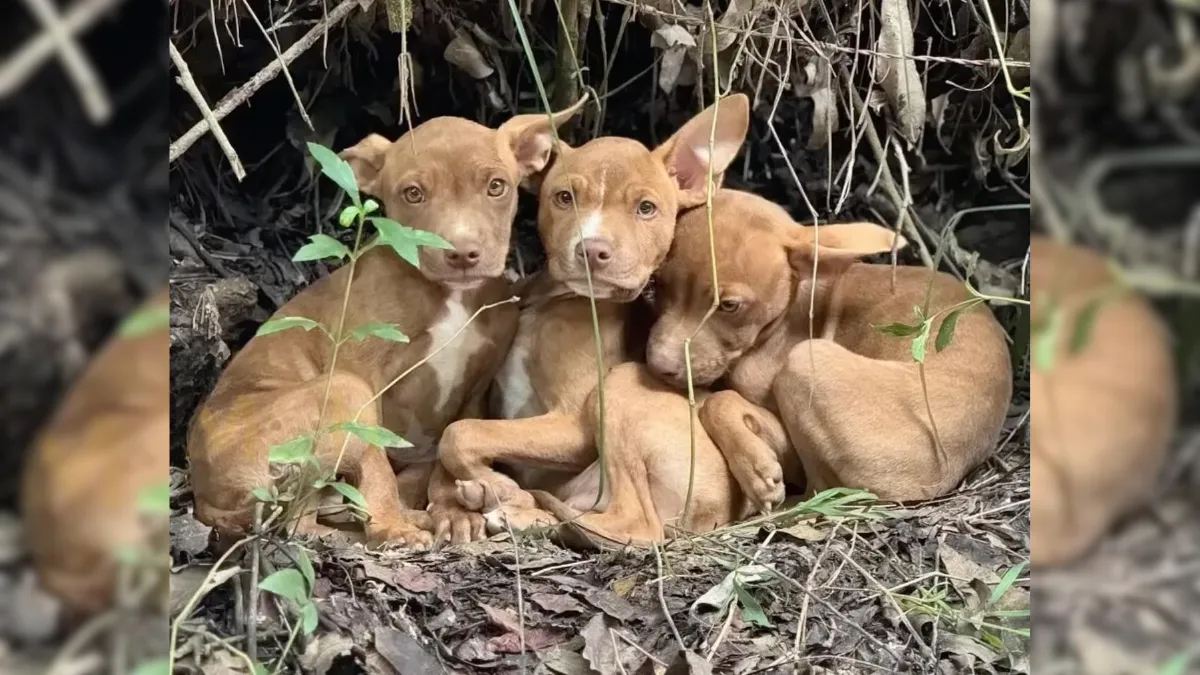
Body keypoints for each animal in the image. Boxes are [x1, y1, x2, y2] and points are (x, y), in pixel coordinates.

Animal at [184, 103, 583, 547]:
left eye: (497, 186)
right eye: (413, 193)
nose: (462, 254)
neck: (452, 297)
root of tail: (200, 496)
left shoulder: (477, 386)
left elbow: (451, 444)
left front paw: (453, 510)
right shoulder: (363, 374)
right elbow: (377, 462)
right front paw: (394, 525)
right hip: (339, 394)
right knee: (301, 522)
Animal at [432, 93, 748, 540]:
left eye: (646, 208)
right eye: (564, 198)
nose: (593, 249)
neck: (557, 302)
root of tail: (721, 510)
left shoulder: (572, 428)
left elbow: (460, 432)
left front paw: (497, 484)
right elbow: (455, 436)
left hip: (620, 390)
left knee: (635, 525)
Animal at [648, 187, 1012, 504]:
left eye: (729, 306)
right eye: (659, 284)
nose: (657, 365)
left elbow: (718, 401)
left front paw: (754, 468)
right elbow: (722, 401)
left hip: (806, 363)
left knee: (816, 488)